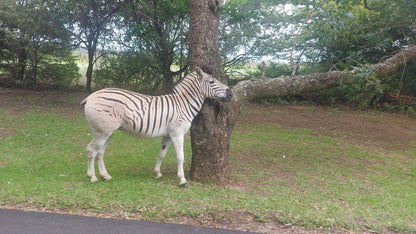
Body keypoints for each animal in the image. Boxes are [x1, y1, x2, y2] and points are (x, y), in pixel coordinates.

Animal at [79, 67, 232, 186]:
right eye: (212, 82)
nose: (230, 93)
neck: (183, 104)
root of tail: (91, 96)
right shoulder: (177, 133)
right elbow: (180, 156)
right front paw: (182, 180)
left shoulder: (168, 135)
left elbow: (161, 154)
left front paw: (157, 173)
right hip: (101, 131)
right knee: (90, 150)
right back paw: (92, 177)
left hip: (108, 132)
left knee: (100, 152)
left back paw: (105, 176)